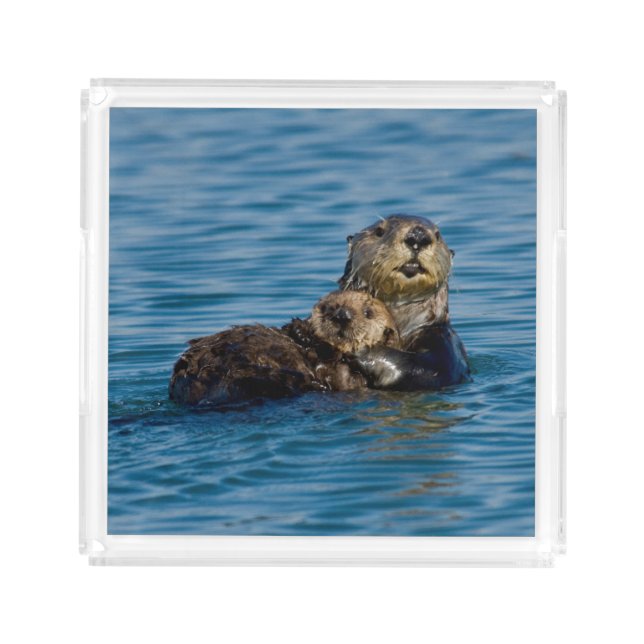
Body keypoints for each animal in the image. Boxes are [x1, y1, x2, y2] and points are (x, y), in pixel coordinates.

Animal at [169, 291, 400, 405]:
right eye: (327, 307)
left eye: (368, 313)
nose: (342, 315)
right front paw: (298, 328)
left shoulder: (349, 378)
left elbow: (339, 376)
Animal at [339, 214, 470, 390]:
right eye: (379, 231)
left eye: (438, 235)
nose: (418, 236)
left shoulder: (446, 345)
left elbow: (426, 370)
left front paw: (361, 349)